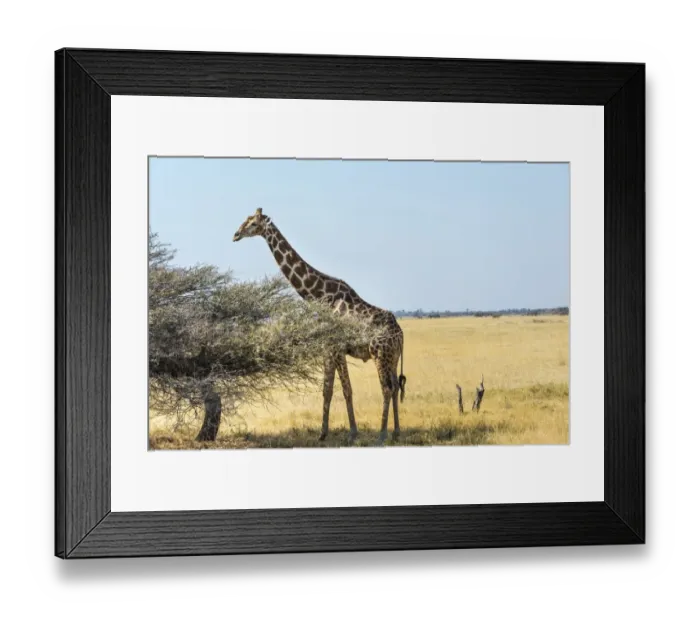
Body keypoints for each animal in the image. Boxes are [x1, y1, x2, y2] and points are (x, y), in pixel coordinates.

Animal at [233, 208, 406, 445]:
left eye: (252, 223)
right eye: (246, 220)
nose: (236, 234)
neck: (320, 296)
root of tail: (400, 334)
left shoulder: (336, 346)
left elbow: (346, 389)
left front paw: (353, 433)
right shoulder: (327, 347)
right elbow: (327, 389)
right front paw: (322, 434)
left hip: (379, 354)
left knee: (387, 388)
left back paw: (381, 435)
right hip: (392, 357)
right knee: (396, 386)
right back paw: (396, 432)